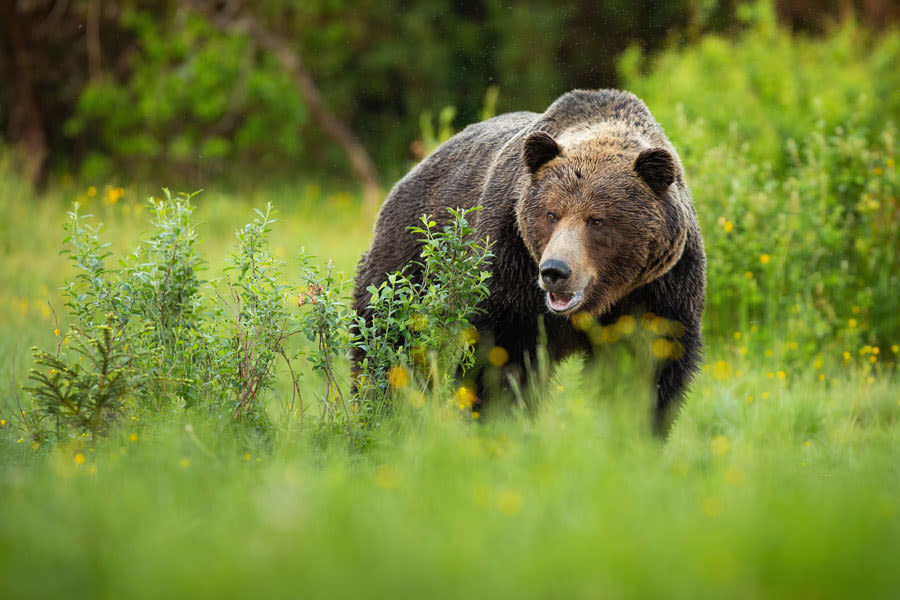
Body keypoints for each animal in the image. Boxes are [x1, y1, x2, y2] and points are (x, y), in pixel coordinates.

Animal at [356, 89, 708, 432]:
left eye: (597, 220)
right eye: (551, 214)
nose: (555, 271)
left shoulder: (659, 288)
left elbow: (647, 366)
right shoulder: (511, 267)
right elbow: (503, 356)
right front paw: (500, 421)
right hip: (410, 263)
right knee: (387, 340)